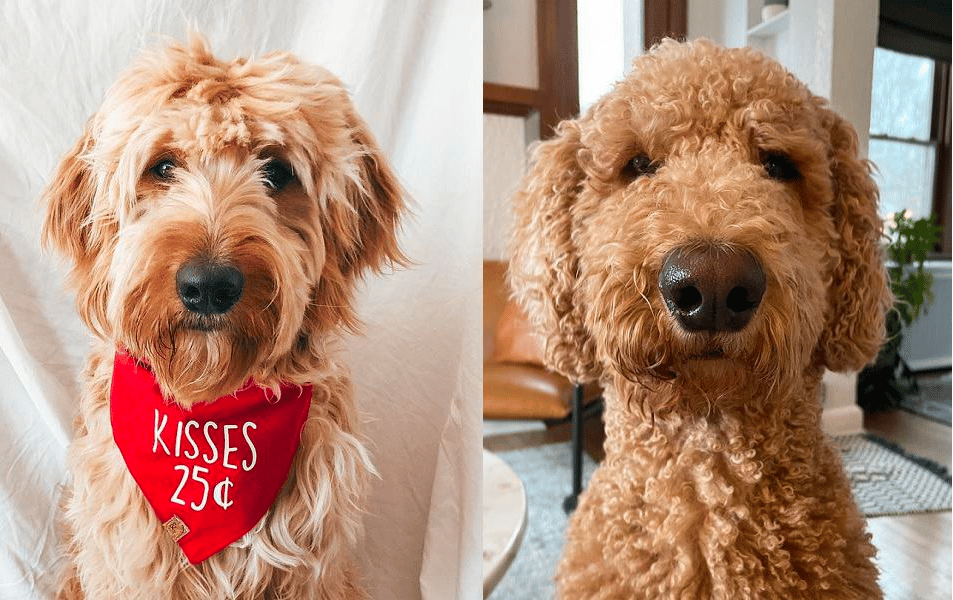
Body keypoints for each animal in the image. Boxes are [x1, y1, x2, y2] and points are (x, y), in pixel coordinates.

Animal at [45, 36, 402, 600]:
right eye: (162, 167)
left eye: (277, 171)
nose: (208, 286)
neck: (212, 409)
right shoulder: (130, 558)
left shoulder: (312, 564)